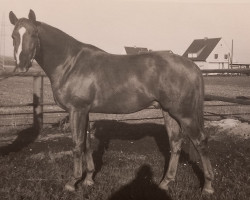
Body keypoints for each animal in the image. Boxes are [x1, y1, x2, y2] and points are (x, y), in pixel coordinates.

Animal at [8, 10, 214, 195]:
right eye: (13, 36)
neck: (70, 63)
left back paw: (208, 187)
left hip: (185, 114)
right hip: (169, 112)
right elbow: (87, 143)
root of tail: (192, 65)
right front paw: (89, 179)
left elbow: (77, 144)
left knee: (200, 141)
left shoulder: (76, 110)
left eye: (34, 34)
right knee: (176, 143)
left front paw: (72, 182)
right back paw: (165, 183)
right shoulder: (85, 111)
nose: (21, 66)